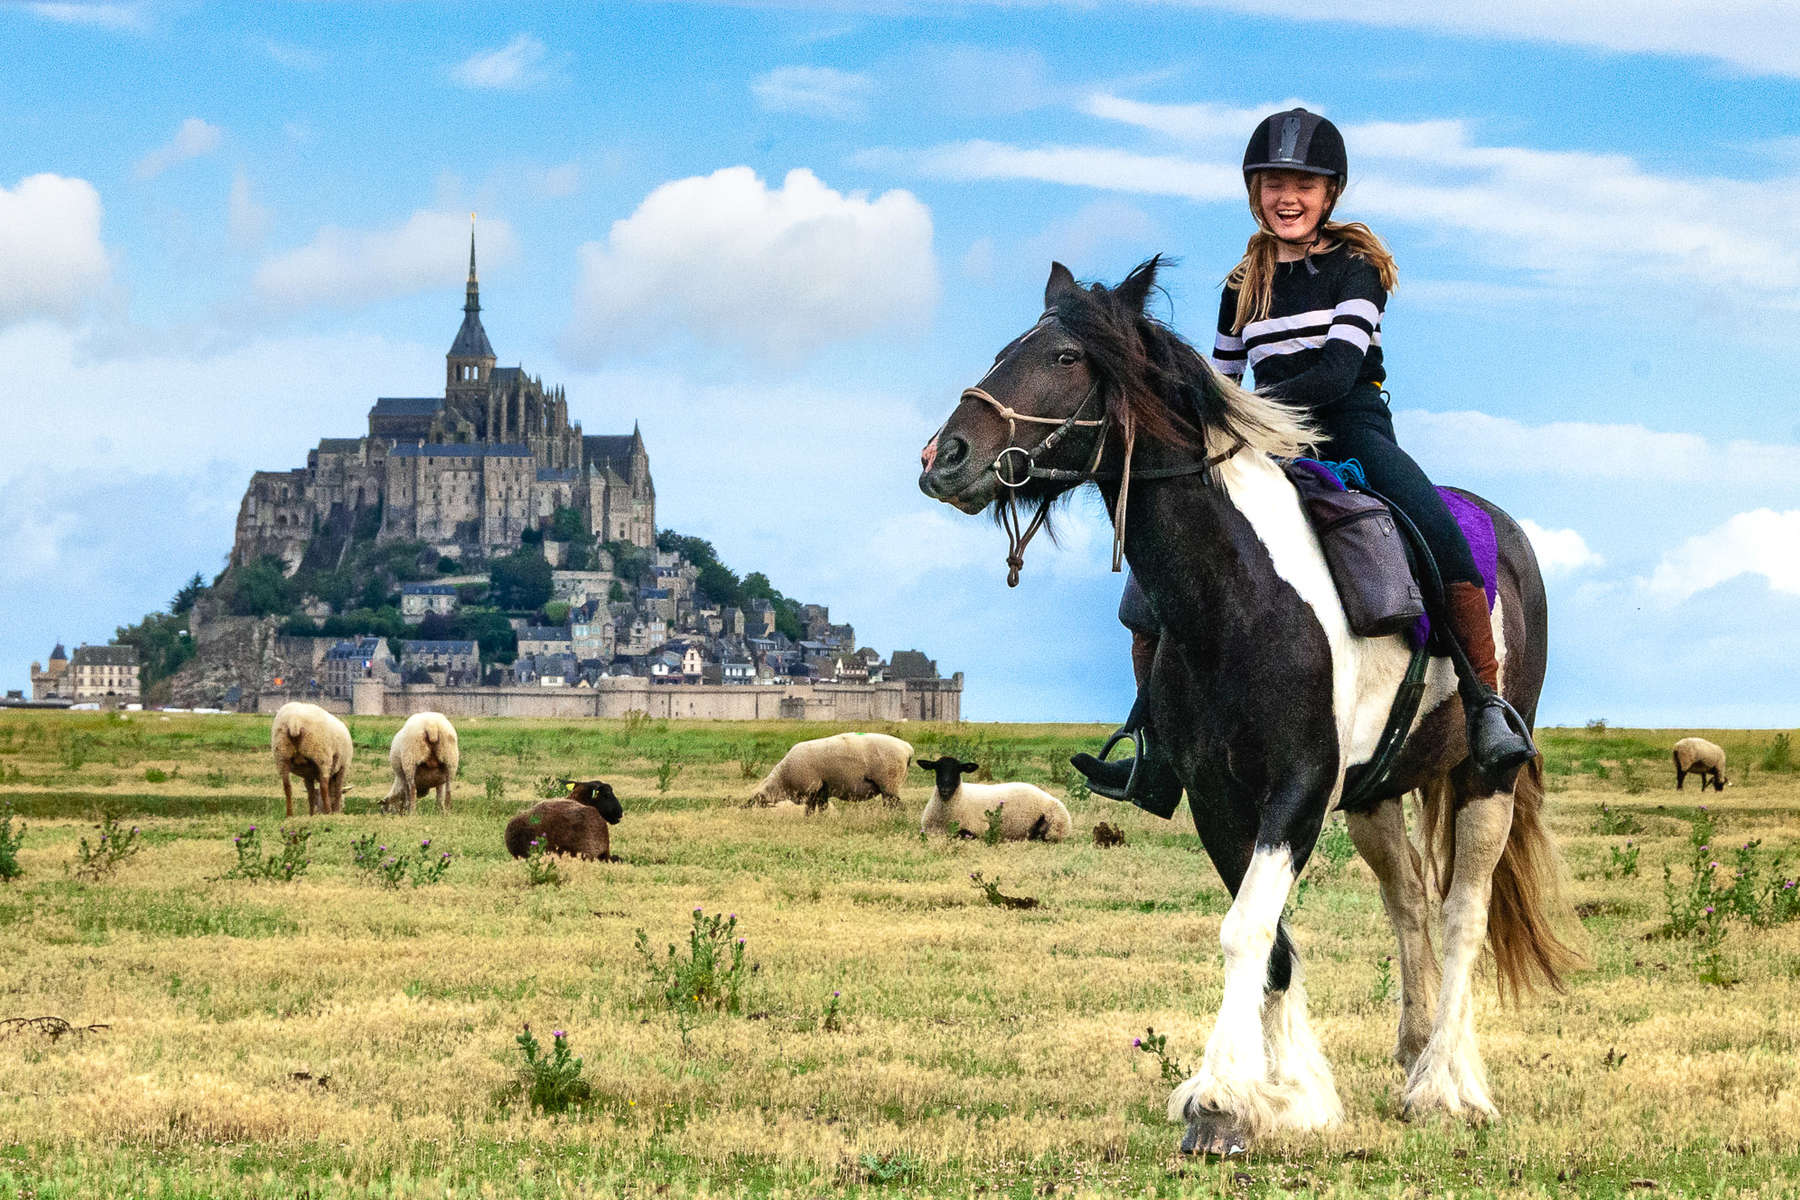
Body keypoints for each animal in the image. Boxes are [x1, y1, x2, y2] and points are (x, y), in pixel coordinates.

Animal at [745, 726, 914, 813]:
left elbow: (809, 810)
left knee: (896, 806)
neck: (783, 780)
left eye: (755, 800)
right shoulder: (822, 791)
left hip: (889, 782)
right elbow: (819, 809)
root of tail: (908, 749)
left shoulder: (812, 787)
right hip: (889, 786)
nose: (743, 808)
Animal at [914, 759, 1065, 845]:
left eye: (958, 770)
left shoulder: (978, 829)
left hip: (1054, 825)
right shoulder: (928, 830)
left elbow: (962, 834)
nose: (945, 789)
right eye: (936, 768)